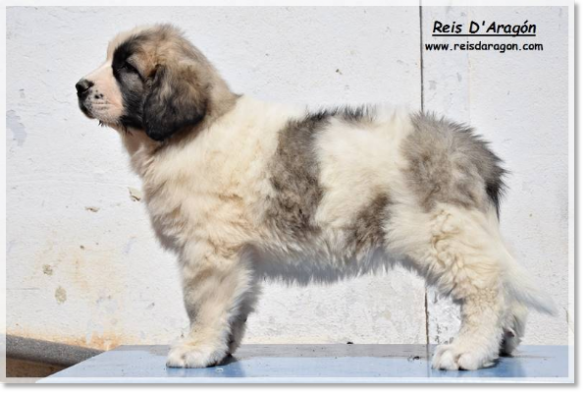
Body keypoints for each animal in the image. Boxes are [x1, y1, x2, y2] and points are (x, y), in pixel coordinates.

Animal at [75, 23, 556, 370]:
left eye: (126, 68)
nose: (80, 86)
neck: (192, 131)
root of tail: (475, 150)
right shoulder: (236, 255)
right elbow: (235, 306)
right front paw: (222, 350)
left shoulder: (209, 251)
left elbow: (203, 306)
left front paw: (196, 348)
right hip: (465, 233)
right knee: (504, 289)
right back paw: (503, 344)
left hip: (441, 233)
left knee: (486, 290)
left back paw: (469, 351)